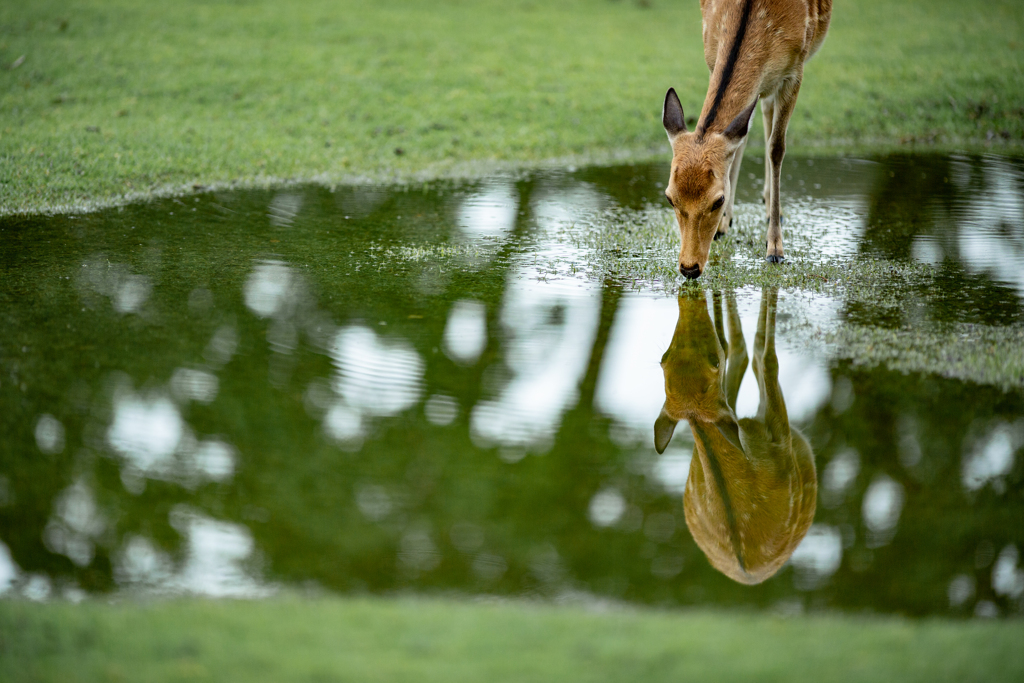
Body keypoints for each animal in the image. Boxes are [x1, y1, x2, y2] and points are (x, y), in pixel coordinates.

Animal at [651, 290, 819, 585]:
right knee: (749, 353)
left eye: (663, 357)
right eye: (714, 362)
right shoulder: (783, 443)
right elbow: (766, 359)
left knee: (738, 350)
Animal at [663, 0, 831, 278]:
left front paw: (775, 249)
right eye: (669, 197)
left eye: (717, 200)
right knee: (758, 114)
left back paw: (773, 213)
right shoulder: (711, 60)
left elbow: (777, 147)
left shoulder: (795, 72)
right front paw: (723, 225)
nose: (689, 268)